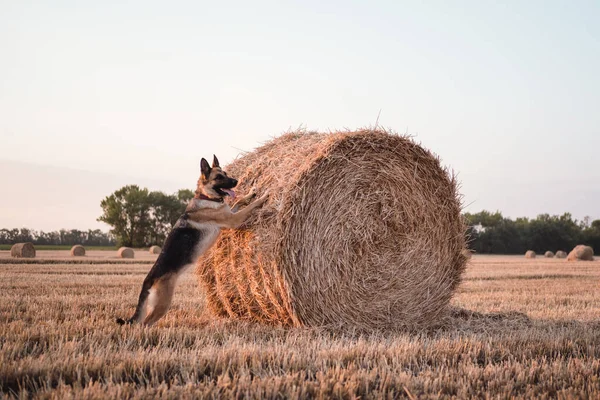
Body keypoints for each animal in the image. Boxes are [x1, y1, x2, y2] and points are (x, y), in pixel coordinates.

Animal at [117, 155, 268, 326]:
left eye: (226, 173)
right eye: (219, 177)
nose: (236, 181)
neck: (206, 198)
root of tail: (149, 279)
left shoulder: (230, 214)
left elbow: (240, 201)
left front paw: (251, 192)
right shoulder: (233, 220)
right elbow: (250, 206)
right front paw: (263, 197)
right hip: (162, 303)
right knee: (144, 323)